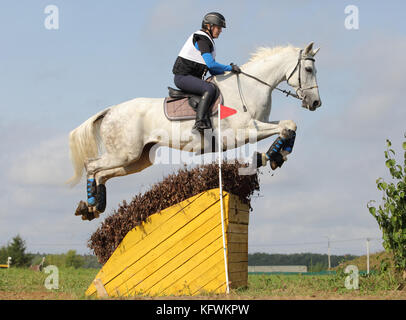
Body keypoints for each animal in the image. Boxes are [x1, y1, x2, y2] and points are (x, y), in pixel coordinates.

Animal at [68, 41, 322, 220]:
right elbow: (287, 127)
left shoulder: (258, 124)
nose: (316, 103)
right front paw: (270, 155)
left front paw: (276, 156)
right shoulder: (242, 132)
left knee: (102, 174)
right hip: (125, 154)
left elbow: (289, 125)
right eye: (309, 69)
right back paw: (90, 205)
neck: (251, 87)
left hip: (137, 160)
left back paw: (94, 206)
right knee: (92, 166)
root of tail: (111, 111)